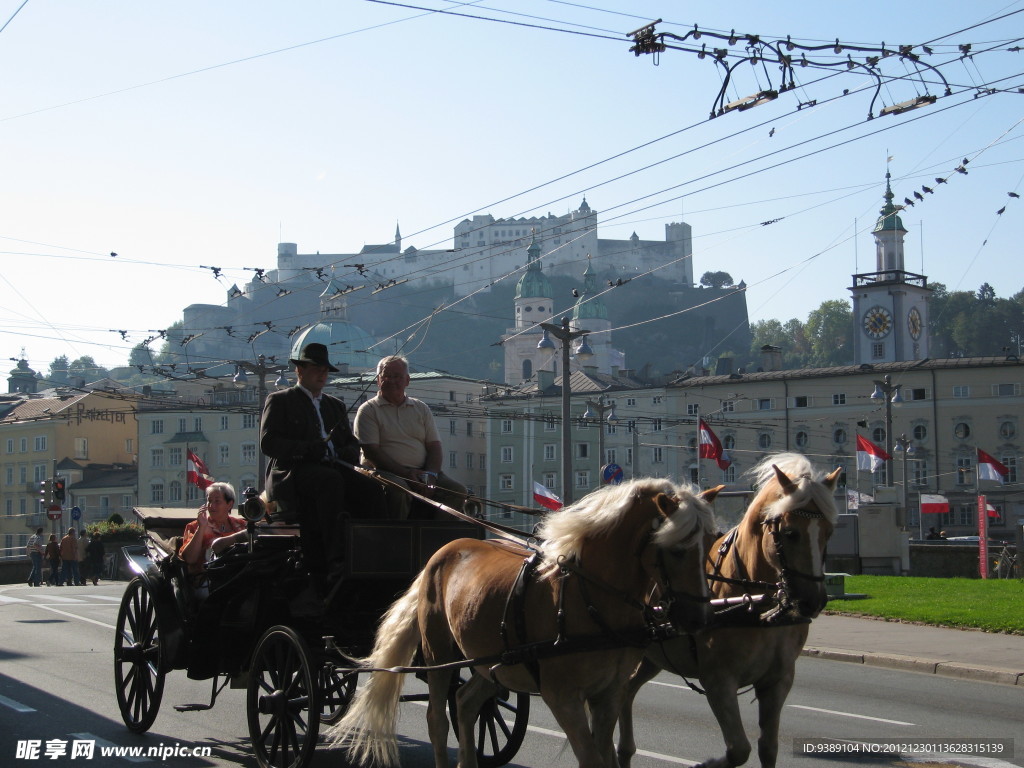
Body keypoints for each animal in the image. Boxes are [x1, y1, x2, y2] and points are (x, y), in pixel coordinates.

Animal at [329, 479, 720, 765]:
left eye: (713, 542)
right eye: (676, 549)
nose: (698, 619)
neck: (590, 596)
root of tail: (440, 554)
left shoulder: (608, 695)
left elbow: (605, 757)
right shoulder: (563, 698)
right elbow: (591, 758)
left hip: (493, 663)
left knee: (466, 703)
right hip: (440, 655)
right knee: (438, 721)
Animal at [614, 454, 839, 768]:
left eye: (829, 532)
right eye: (791, 533)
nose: (813, 601)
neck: (755, 603)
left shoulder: (778, 681)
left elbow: (768, 748)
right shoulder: (718, 681)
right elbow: (738, 749)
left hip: (651, 658)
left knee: (626, 691)